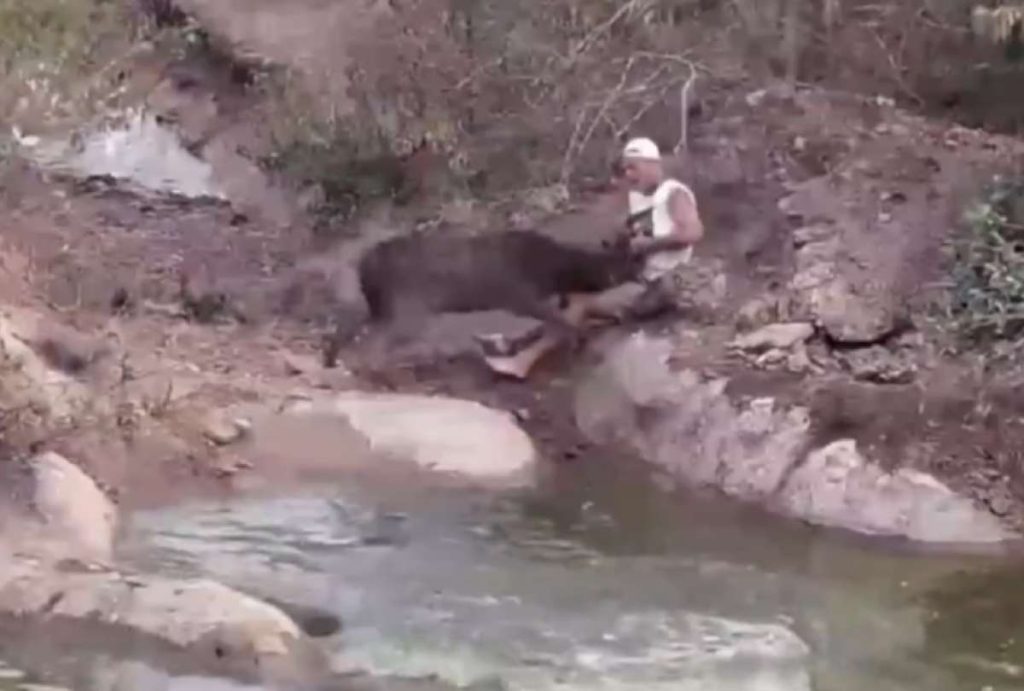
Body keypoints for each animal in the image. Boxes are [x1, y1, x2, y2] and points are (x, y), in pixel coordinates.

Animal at [323, 229, 638, 367]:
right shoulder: (519, 296)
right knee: (371, 348)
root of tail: (364, 266)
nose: (641, 270)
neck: (554, 271)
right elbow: (559, 320)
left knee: (347, 329)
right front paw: (578, 340)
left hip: (379, 305)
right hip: (407, 308)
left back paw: (332, 361)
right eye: (625, 264)